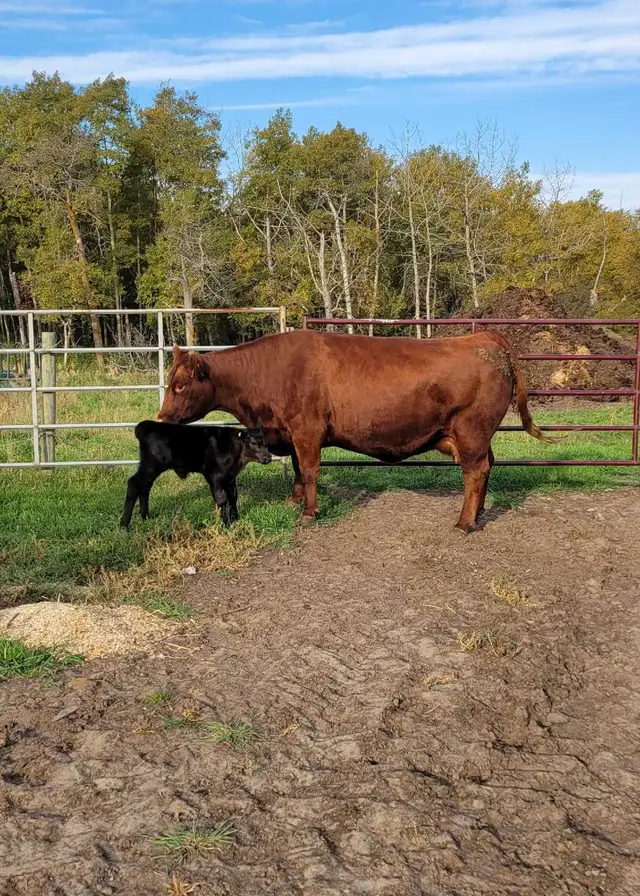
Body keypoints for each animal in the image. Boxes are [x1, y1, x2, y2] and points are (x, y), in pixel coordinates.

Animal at [120, 421, 272, 529]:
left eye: (265, 442)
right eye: (253, 442)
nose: (268, 457)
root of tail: (146, 425)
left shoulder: (230, 477)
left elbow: (233, 496)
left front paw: (235, 519)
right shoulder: (214, 476)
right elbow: (221, 499)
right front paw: (225, 524)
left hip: (150, 469)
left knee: (145, 488)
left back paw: (145, 517)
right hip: (151, 466)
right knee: (134, 484)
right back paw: (124, 525)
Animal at [157, 329, 551, 533]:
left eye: (179, 385)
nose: (162, 417)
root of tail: (483, 336)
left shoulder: (306, 430)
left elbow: (310, 470)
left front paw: (308, 513)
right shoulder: (293, 435)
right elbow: (298, 470)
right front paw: (294, 501)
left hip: (471, 430)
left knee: (476, 471)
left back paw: (464, 522)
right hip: (481, 436)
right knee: (487, 467)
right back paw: (479, 513)